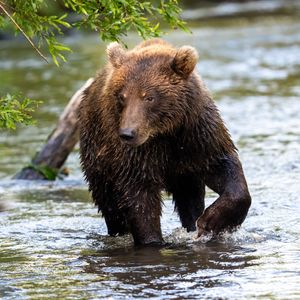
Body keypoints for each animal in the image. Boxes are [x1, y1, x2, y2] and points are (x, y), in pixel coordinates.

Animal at [79, 39, 251, 246]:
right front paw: (152, 240)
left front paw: (212, 221)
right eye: (122, 96)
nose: (127, 133)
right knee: (110, 203)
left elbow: (223, 166)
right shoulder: (136, 154)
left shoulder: (197, 134)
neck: (166, 131)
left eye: (149, 97)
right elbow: (139, 196)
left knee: (189, 195)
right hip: (98, 154)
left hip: (185, 173)